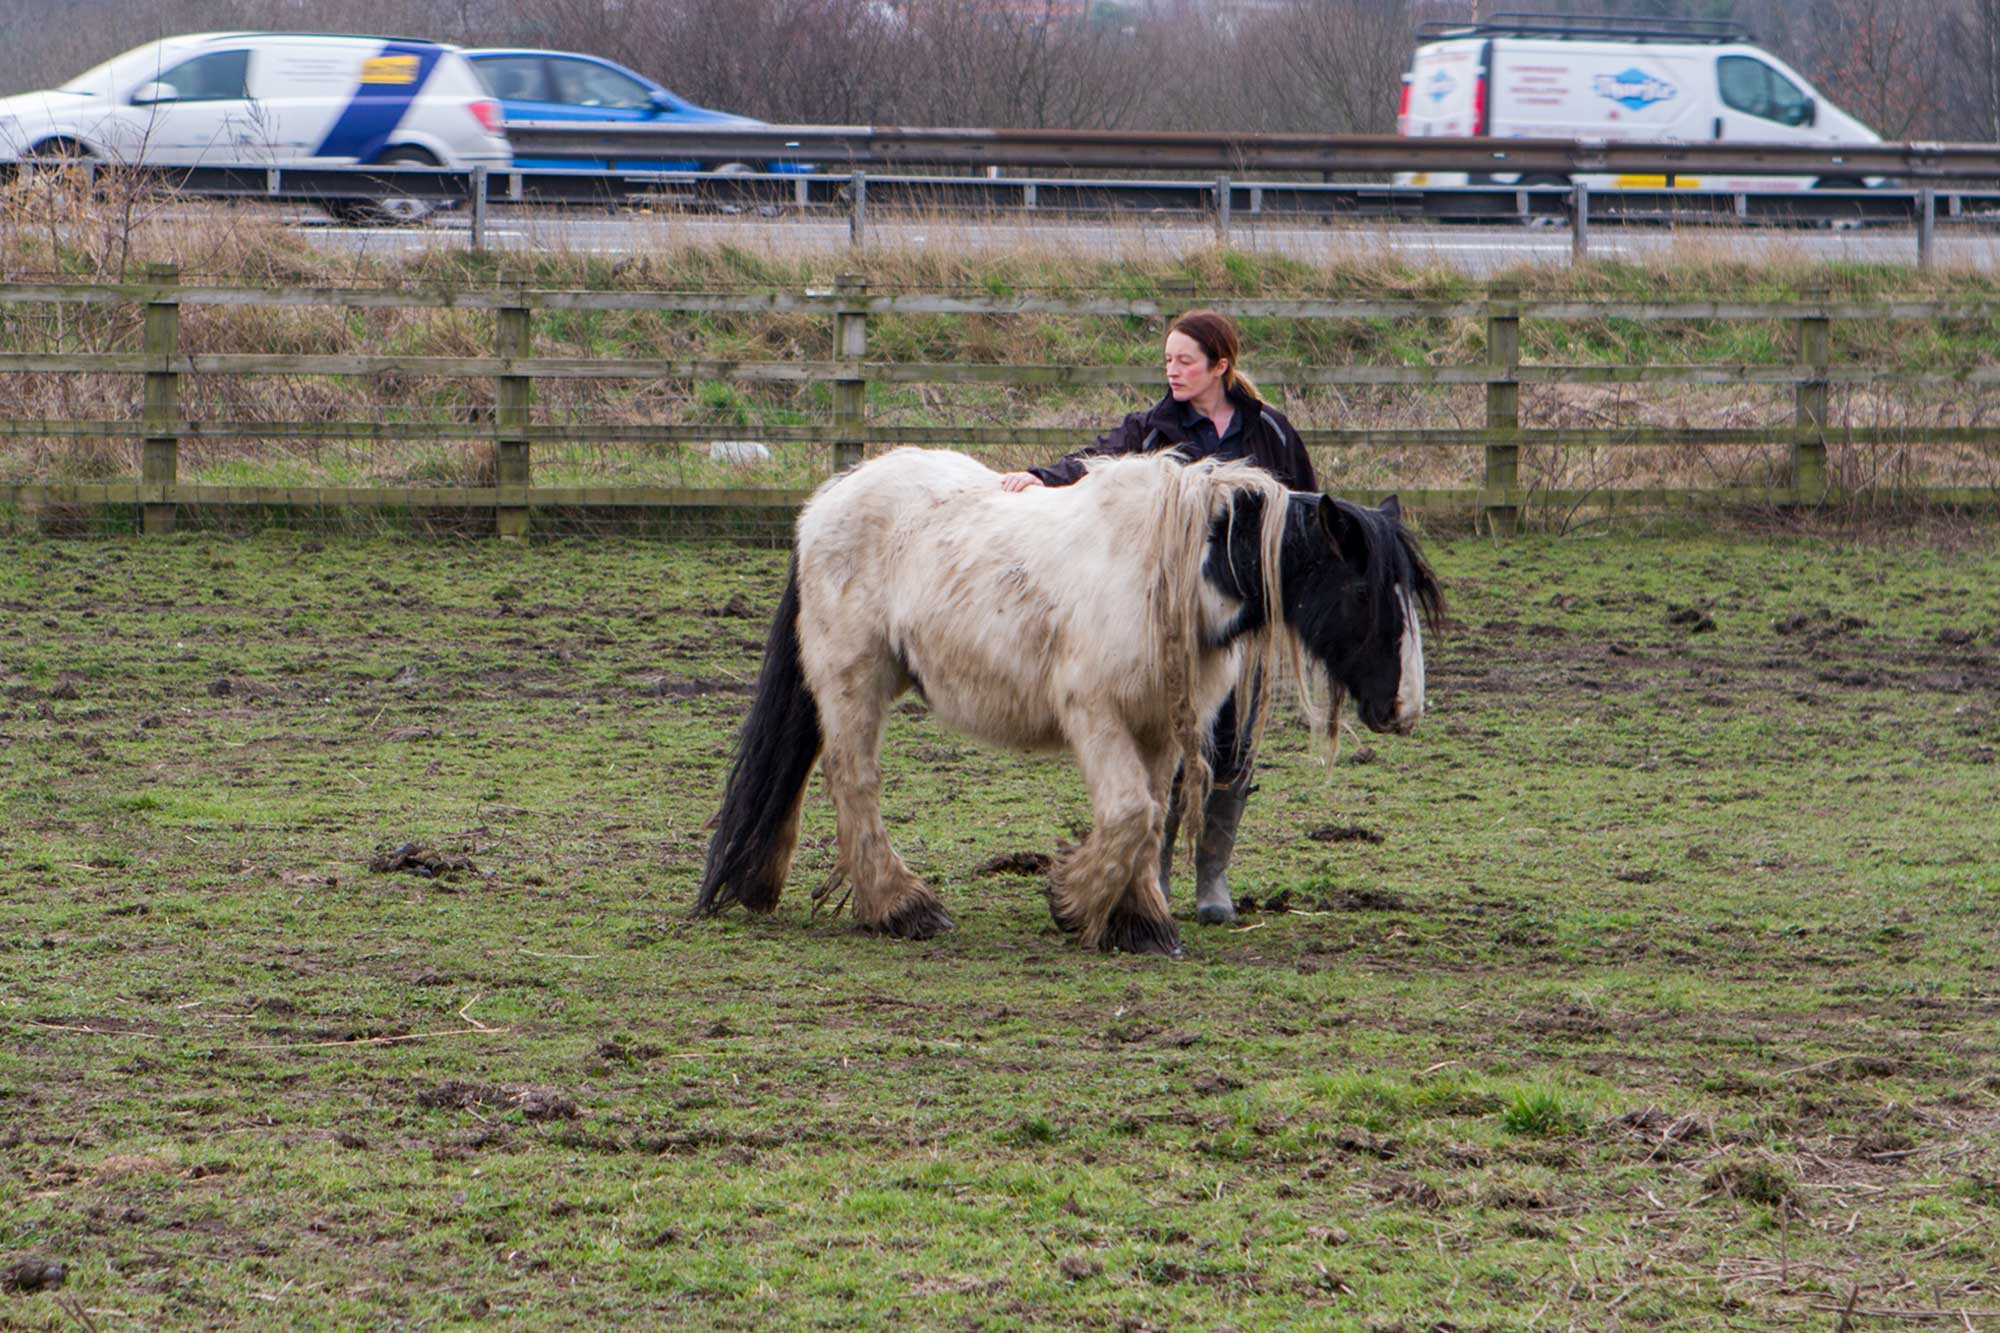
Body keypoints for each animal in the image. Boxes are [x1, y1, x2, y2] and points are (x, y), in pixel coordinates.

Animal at [696, 446, 1448, 956]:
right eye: (1363, 590)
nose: (1404, 708)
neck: (1174, 570)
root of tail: (824, 505)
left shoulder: (1159, 726)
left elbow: (1152, 818)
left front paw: (1139, 920)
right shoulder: (1096, 714)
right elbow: (1128, 812)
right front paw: (1072, 901)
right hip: (854, 679)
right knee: (854, 780)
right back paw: (900, 907)